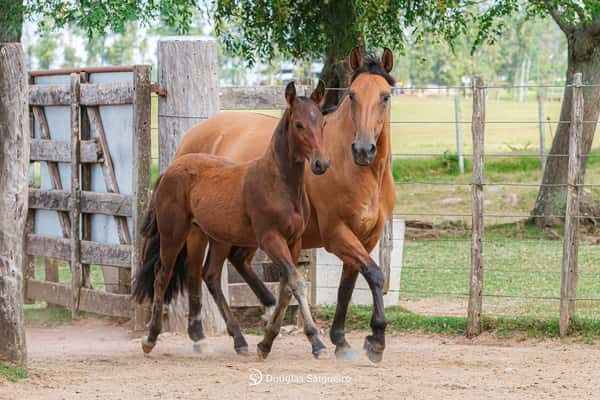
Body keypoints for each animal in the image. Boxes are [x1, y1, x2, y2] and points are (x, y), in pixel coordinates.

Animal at [134, 82, 330, 360]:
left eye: (322, 122)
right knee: (164, 275)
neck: (278, 183)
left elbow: (286, 288)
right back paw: (151, 338)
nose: (321, 163)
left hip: (216, 237)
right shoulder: (270, 239)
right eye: (299, 124)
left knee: (208, 275)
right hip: (175, 234)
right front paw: (316, 342)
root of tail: (171, 168)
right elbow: (296, 283)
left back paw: (236, 339)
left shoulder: (294, 242)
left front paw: (266, 342)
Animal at [172, 47, 398, 362]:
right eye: (352, 95)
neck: (358, 172)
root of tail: (192, 137)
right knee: (198, 275)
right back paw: (200, 337)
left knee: (228, 267)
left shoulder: (366, 237)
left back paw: (257, 321)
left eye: (385, 96)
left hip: (238, 234)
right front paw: (375, 339)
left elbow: (347, 287)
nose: (363, 149)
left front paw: (341, 341)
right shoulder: (337, 235)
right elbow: (375, 275)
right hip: (201, 232)